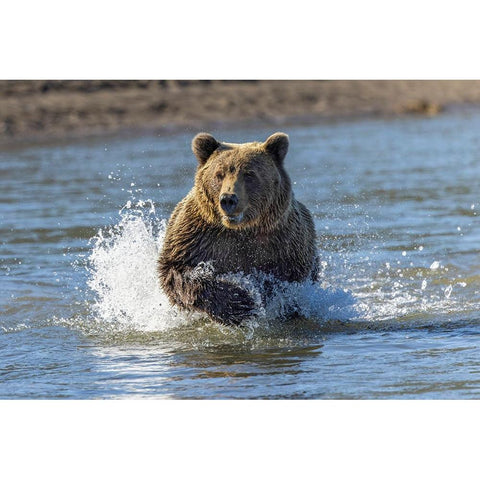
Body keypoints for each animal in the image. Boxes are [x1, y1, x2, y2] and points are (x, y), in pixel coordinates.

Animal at [158, 131, 318, 326]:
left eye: (249, 174)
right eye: (219, 174)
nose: (228, 199)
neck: (241, 230)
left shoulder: (284, 243)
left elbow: (287, 280)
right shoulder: (197, 238)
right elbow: (177, 271)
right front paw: (239, 302)